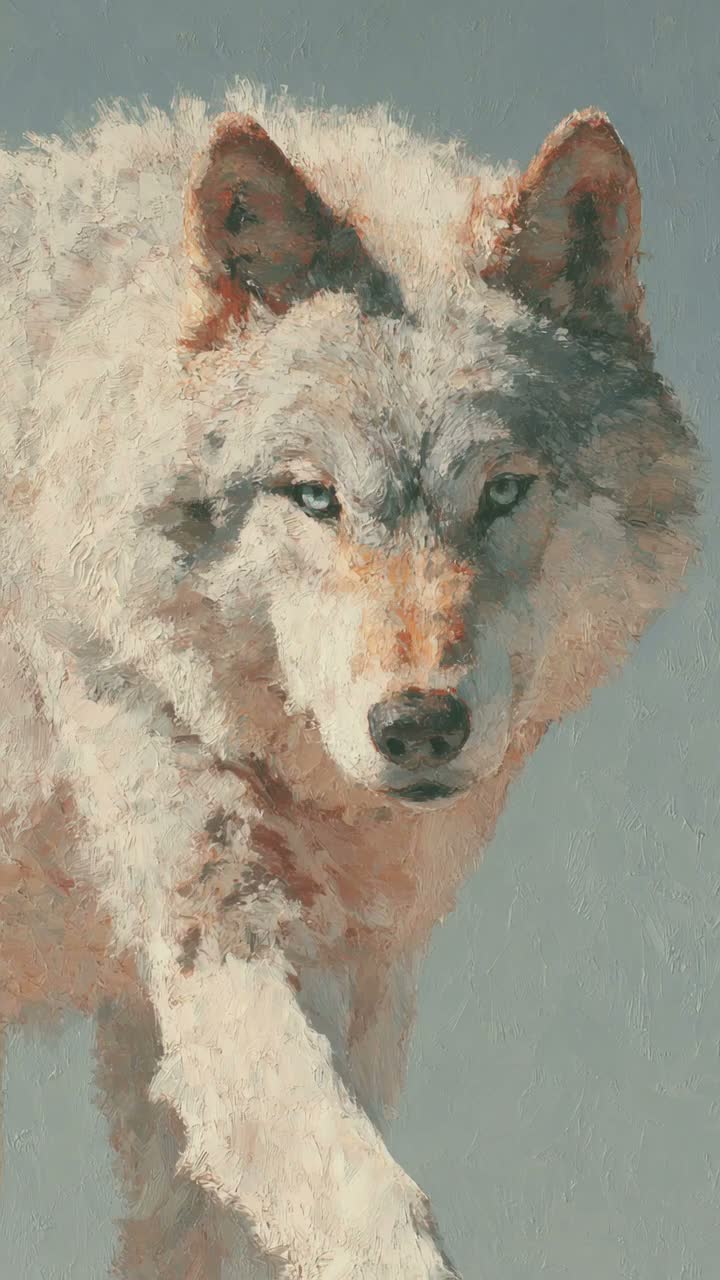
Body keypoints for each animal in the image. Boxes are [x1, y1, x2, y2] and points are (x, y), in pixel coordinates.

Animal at [0, 83, 698, 1278]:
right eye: (314, 496)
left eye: (502, 491)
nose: (417, 723)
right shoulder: (212, 937)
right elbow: (367, 1200)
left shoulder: (329, 979)